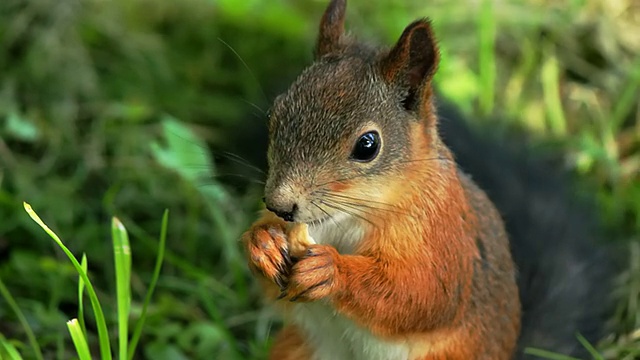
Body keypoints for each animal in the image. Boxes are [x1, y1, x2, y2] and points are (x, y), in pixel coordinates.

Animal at [241, 0, 616, 360]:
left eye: (367, 145)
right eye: (276, 114)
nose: (279, 205)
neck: (348, 218)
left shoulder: (443, 238)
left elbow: (421, 295)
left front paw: (330, 269)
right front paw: (262, 243)